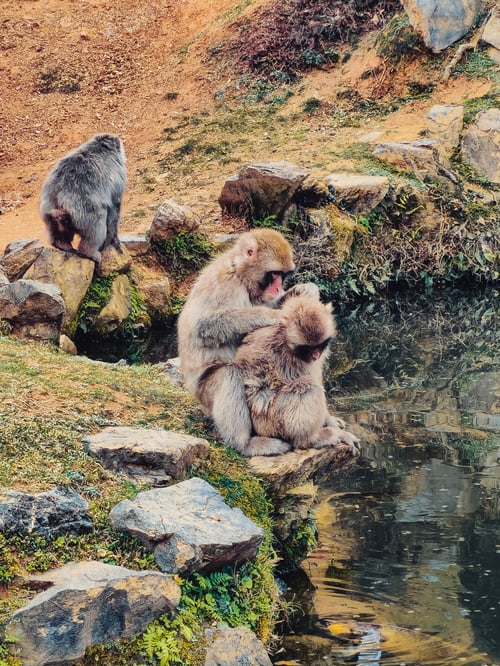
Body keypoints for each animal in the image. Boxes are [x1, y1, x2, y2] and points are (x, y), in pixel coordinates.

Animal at [39, 133, 127, 264]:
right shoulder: (117, 177)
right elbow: (114, 206)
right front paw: (114, 239)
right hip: (84, 214)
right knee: (97, 222)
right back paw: (90, 252)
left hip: (50, 215)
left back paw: (62, 244)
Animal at [177, 228, 321, 456]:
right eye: (273, 274)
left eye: (282, 275)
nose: (278, 287)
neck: (240, 274)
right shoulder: (224, 283)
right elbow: (203, 325)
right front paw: (270, 315)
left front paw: (305, 290)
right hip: (204, 394)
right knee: (228, 374)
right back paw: (244, 444)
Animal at [233, 295, 361, 456]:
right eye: (308, 348)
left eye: (318, 346)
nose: (315, 355)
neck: (285, 338)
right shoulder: (298, 361)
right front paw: (338, 430)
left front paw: (330, 419)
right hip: (272, 422)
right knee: (309, 385)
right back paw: (310, 440)